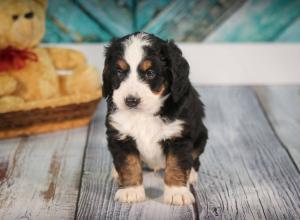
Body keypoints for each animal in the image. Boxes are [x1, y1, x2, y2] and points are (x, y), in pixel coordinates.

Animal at [102, 31, 207, 205]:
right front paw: (131, 191)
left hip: (201, 135)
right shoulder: (120, 135)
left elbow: (176, 164)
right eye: (119, 72)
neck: (145, 114)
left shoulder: (179, 136)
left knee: (195, 158)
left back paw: (191, 174)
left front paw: (177, 192)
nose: (131, 101)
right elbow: (128, 164)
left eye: (150, 73)